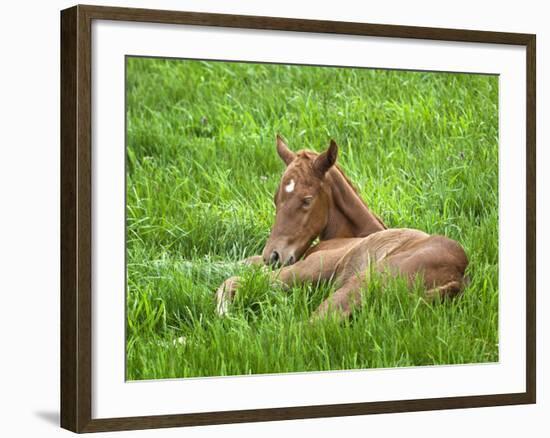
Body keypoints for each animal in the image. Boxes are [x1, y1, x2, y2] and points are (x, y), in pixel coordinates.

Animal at [216, 135, 470, 320]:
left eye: (307, 200)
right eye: (275, 197)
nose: (273, 255)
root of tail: (457, 279)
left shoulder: (311, 265)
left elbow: (234, 279)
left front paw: (223, 310)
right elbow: (245, 263)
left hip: (358, 284)